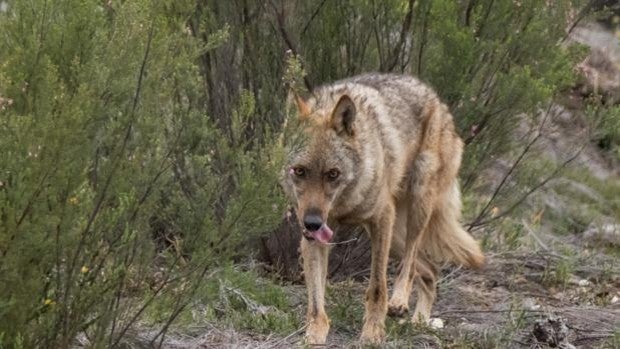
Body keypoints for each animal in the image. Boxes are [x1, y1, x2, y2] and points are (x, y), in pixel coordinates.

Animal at [280, 73, 484, 342]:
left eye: (333, 174)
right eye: (299, 171)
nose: (312, 223)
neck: (344, 204)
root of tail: (438, 101)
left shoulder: (381, 219)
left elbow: (377, 286)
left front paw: (372, 333)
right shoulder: (314, 239)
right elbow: (315, 302)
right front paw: (313, 336)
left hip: (415, 207)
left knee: (410, 264)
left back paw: (399, 302)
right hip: (394, 237)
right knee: (430, 270)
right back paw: (420, 322)